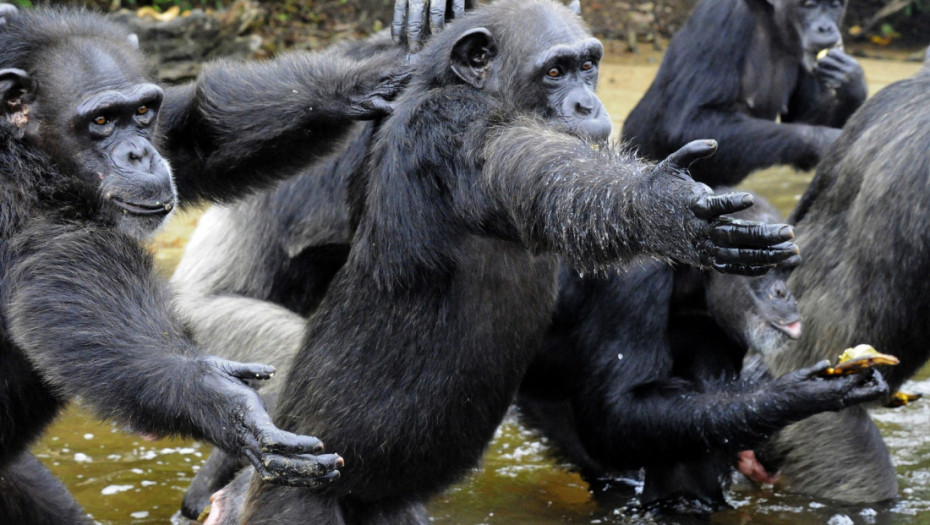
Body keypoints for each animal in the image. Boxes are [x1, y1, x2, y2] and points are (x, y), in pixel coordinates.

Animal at [0, 5, 408, 524]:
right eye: (100, 120)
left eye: (140, 112)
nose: (140, 153)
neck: (32, 156)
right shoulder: (24, 213)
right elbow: (86, 306)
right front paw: (229, 406)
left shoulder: (170, 133)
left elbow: (198, 130)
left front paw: (367, 79)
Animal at [620, 0, 868, 186]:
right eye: (809, 5)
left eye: (834, 5)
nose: (826, 27)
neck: (771, 22)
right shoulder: (722, 19)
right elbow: (691, 121)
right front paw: (828, 140)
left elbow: (805, 120)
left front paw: (852, 81)